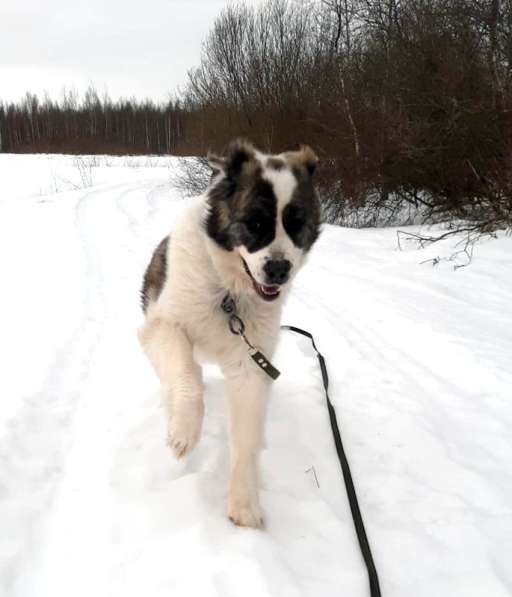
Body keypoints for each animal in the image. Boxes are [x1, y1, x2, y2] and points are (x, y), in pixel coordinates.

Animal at [138, 140, 322, 528]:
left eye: (296, 224)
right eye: (255, 223)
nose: (279, 270)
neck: (228, 291)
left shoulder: (249, 363)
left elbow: (246, 438)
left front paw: (244, 503)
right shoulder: (161, 326)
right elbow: (186, 378)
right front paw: (184, 431)